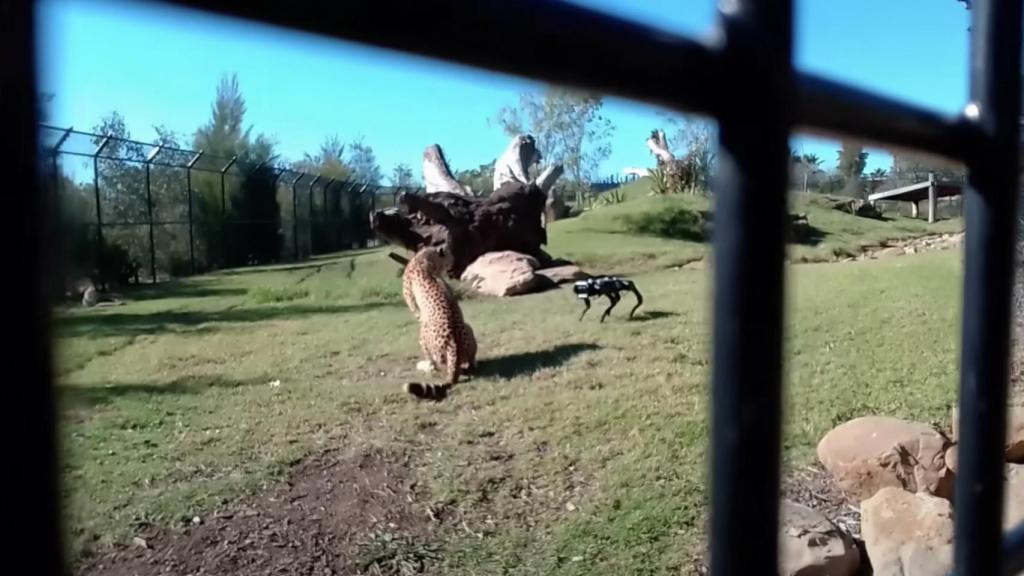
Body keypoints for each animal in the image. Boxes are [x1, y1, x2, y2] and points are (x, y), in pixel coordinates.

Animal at [401, 244, 477, 400]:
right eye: (450, 254)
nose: (454, 261)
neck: (426, 257)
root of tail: (453, 343)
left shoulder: (413, 305)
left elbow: (417, 313)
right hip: (468, 327)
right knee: (471, 364)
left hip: (422, 335)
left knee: (434, 366)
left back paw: (425, 366)